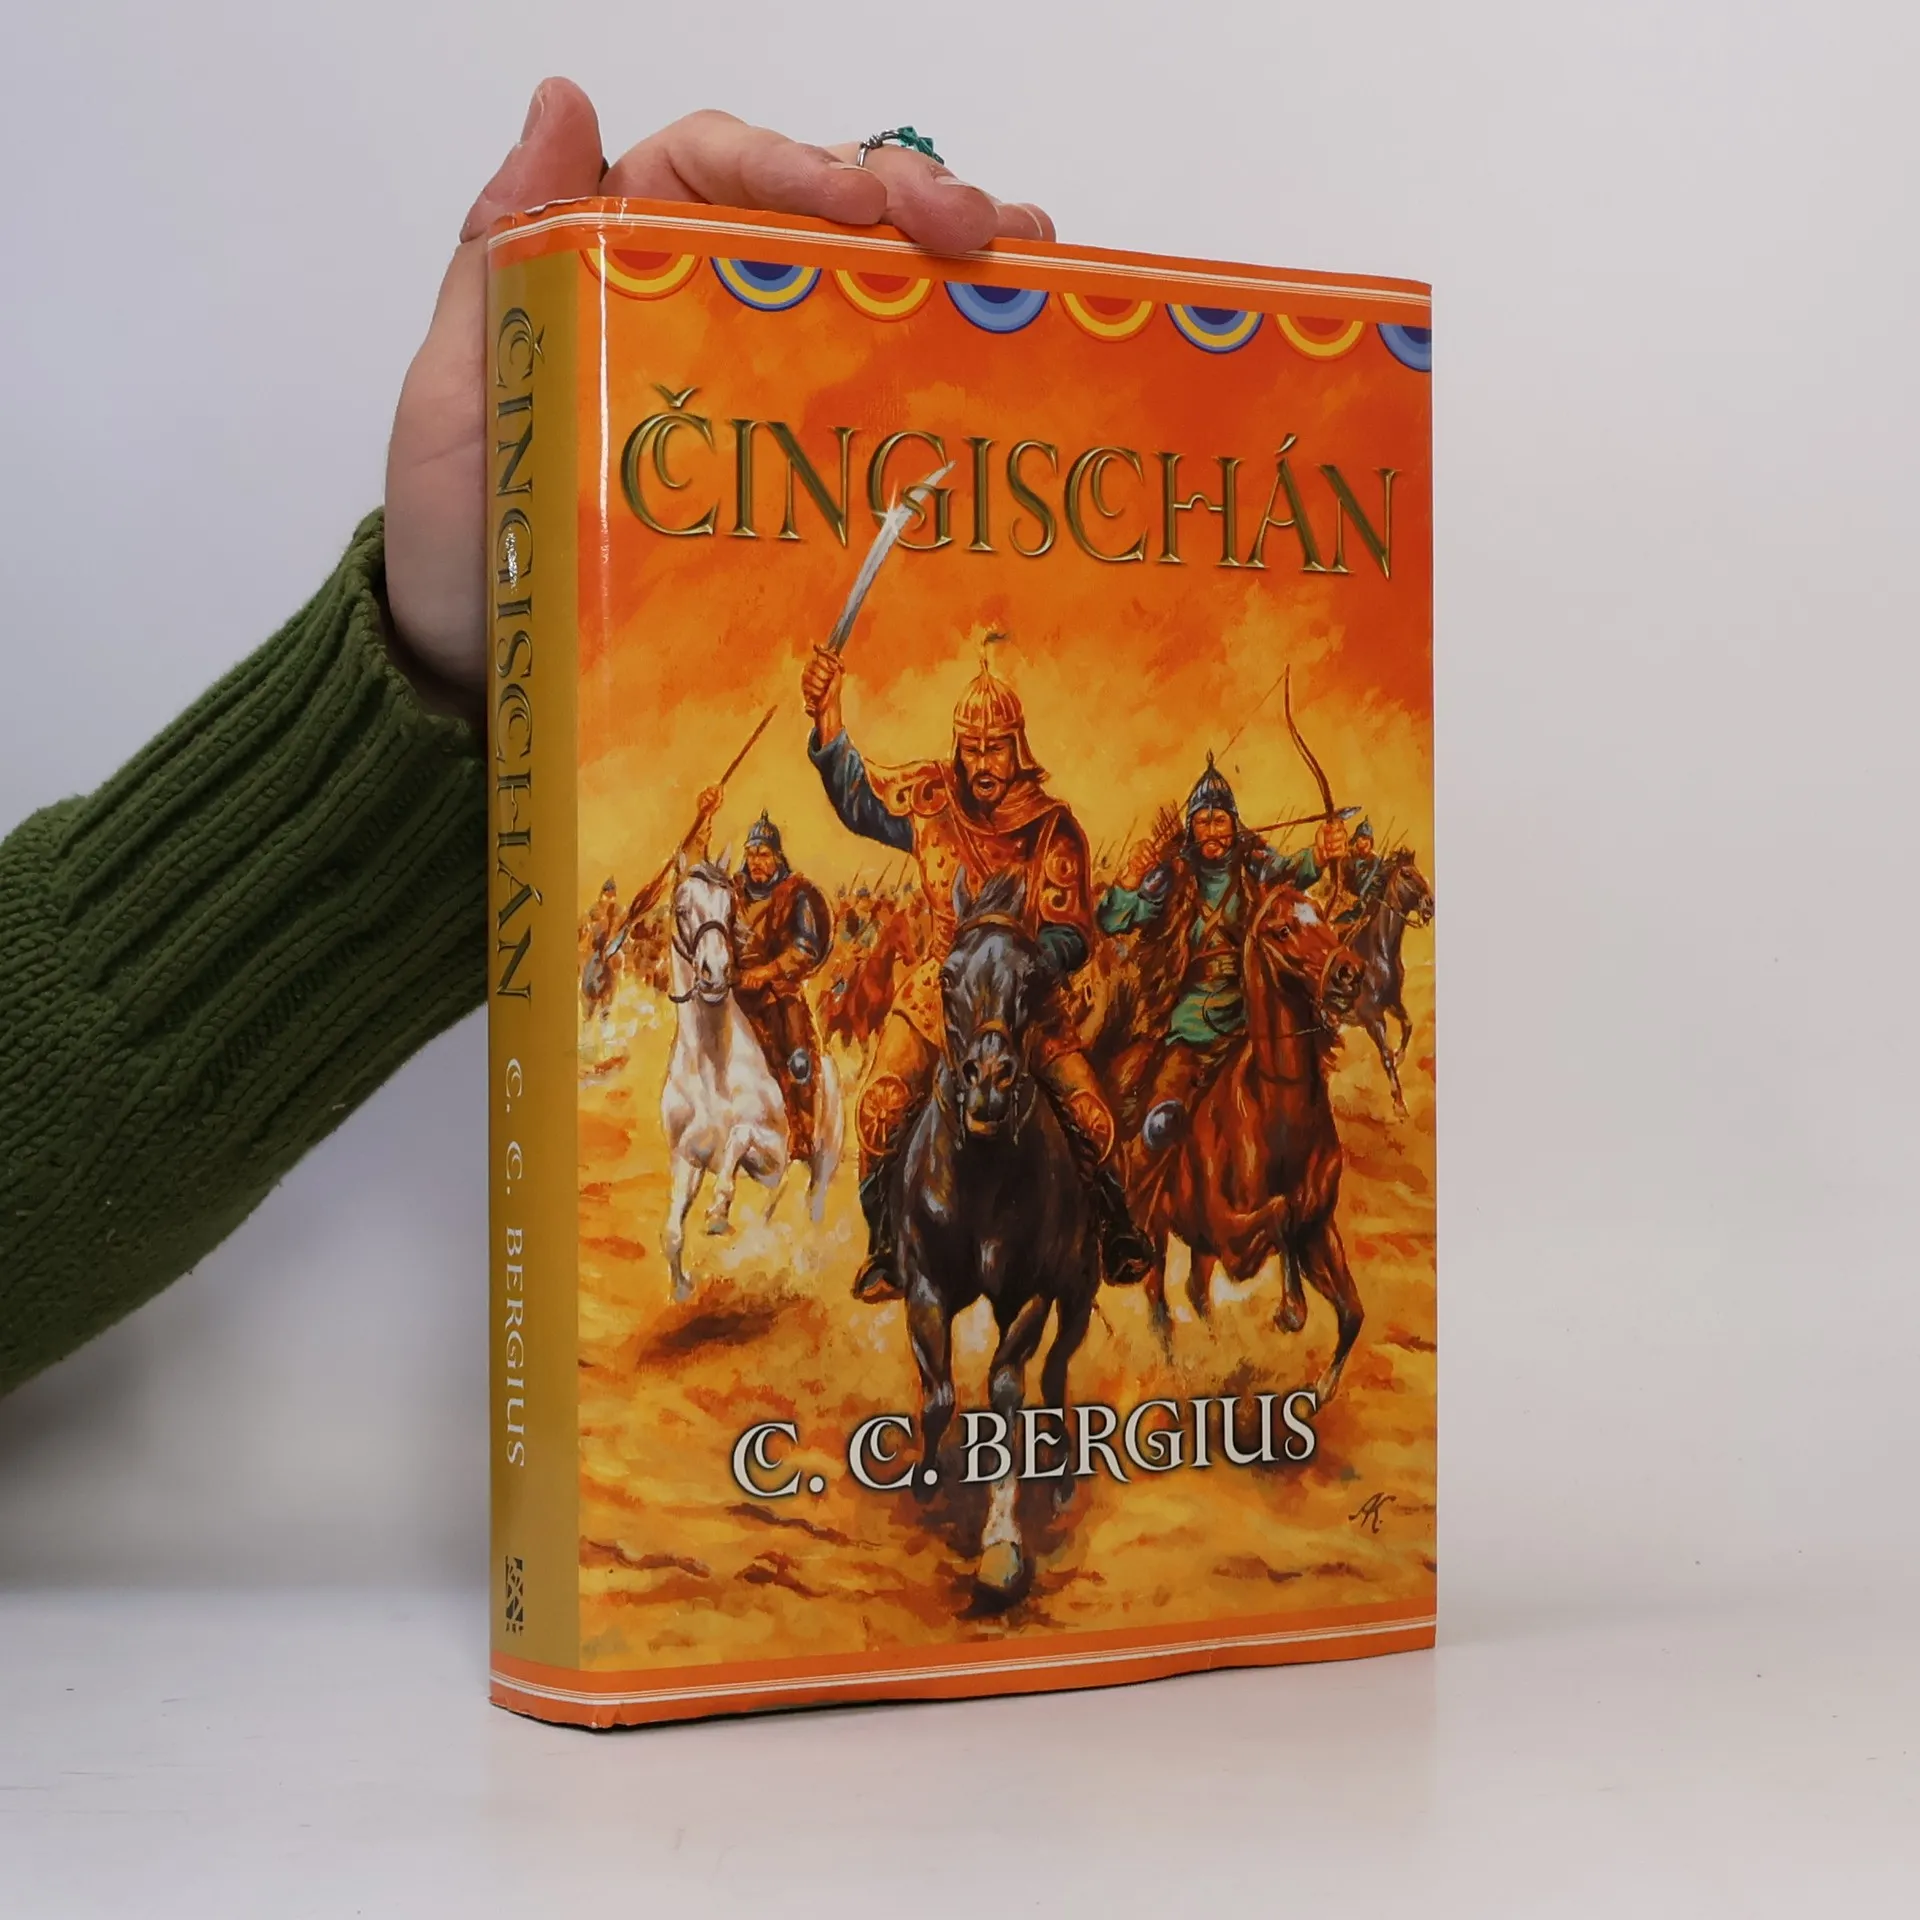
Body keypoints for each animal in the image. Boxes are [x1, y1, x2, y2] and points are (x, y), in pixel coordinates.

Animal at [659, 857, 844, 1300]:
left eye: (730, 912)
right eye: (681, 909)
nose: (715, 974)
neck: (711, 1066)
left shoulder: (772, 1153)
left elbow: (738, 1139)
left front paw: (717, 1211)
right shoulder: (686, 1159)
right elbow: (671, 1232)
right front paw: (681, 1289)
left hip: (824, 1163)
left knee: (812, 1209)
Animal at [894, 870, 1098, 1608]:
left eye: (1035, 977)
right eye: (948, 976)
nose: (989, 1083)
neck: (980, 1172)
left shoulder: (1030, 1295)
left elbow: (1007, 1392)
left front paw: (1002, 1545)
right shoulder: (924, 1288)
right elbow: (940, 1396)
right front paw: (927, 1479)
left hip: (1078, 1293)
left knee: (1057, 1374)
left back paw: (1062, 1477)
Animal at [1131, 885, 1367, 1404]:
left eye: (1320, 915)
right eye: (1282, 929)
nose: (1349, 972)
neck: (1277, 1113)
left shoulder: (1318, 1229)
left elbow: (1352, 1312)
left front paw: (1322, 1388)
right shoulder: (1234, 1241)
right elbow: (1279, 1212)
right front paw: (1290, 1310)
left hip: (1198, 1246)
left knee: (1196, 1291)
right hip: (1156, 1236)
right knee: (1159, 1304)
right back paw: (1181, 1375)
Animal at [1339, 850, 1435, 1117]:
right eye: (1406, 874)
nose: (1430, 904)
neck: (1377, 955)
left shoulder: (1392, 1002)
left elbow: (1408, 1025)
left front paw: (1401, 1056)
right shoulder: (1372, 1017)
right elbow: (1385, 1056)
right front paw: (1399, 1103)